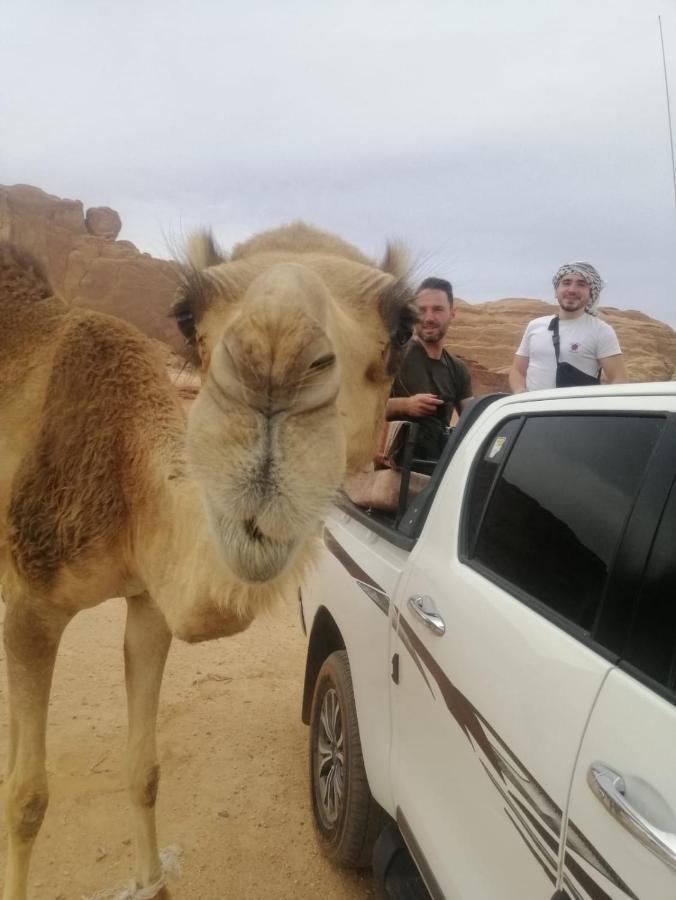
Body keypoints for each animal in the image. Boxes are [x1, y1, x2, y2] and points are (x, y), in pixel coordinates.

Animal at [0, 227, 414, 900]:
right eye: (185, 313)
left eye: (404, 324)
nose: (272, 359)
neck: (124, 478)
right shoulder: (34, 603)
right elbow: (27, 799)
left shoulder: (148, 602)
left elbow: (144, 768)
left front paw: (151, 883)